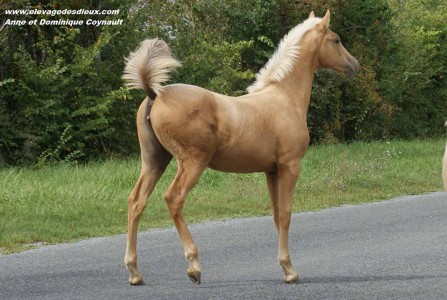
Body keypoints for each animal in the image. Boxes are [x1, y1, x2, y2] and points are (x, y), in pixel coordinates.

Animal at [121, 9, 358, 286]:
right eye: (336, 40)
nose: (354, 65)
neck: (285, 98)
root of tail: (155, 94)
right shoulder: (290, 166)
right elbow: (286, 214)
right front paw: (291, 271)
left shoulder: (271, 170)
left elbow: (276, 214)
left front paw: (285, 268)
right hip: (191, 162)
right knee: (173, 198)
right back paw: (194, 267)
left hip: (154, 160)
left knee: (136, 202)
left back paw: (134, 273)